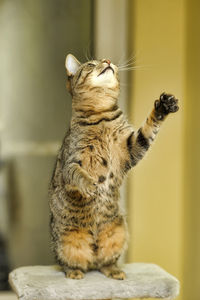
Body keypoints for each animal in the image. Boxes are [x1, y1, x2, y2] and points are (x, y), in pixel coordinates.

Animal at [48, 53, 180, 278]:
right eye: (90, 65)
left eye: (103, 60)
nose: (108, 61)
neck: (101, 117)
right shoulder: (71, 161)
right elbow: (78, 173)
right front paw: (90, 185)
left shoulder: (132, 147)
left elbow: (148, 128)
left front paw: (162, 107)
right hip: (67, 243)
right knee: (71, 263)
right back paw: (75, 272)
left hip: (118, 233)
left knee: (105, 261)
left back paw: (114, 271)